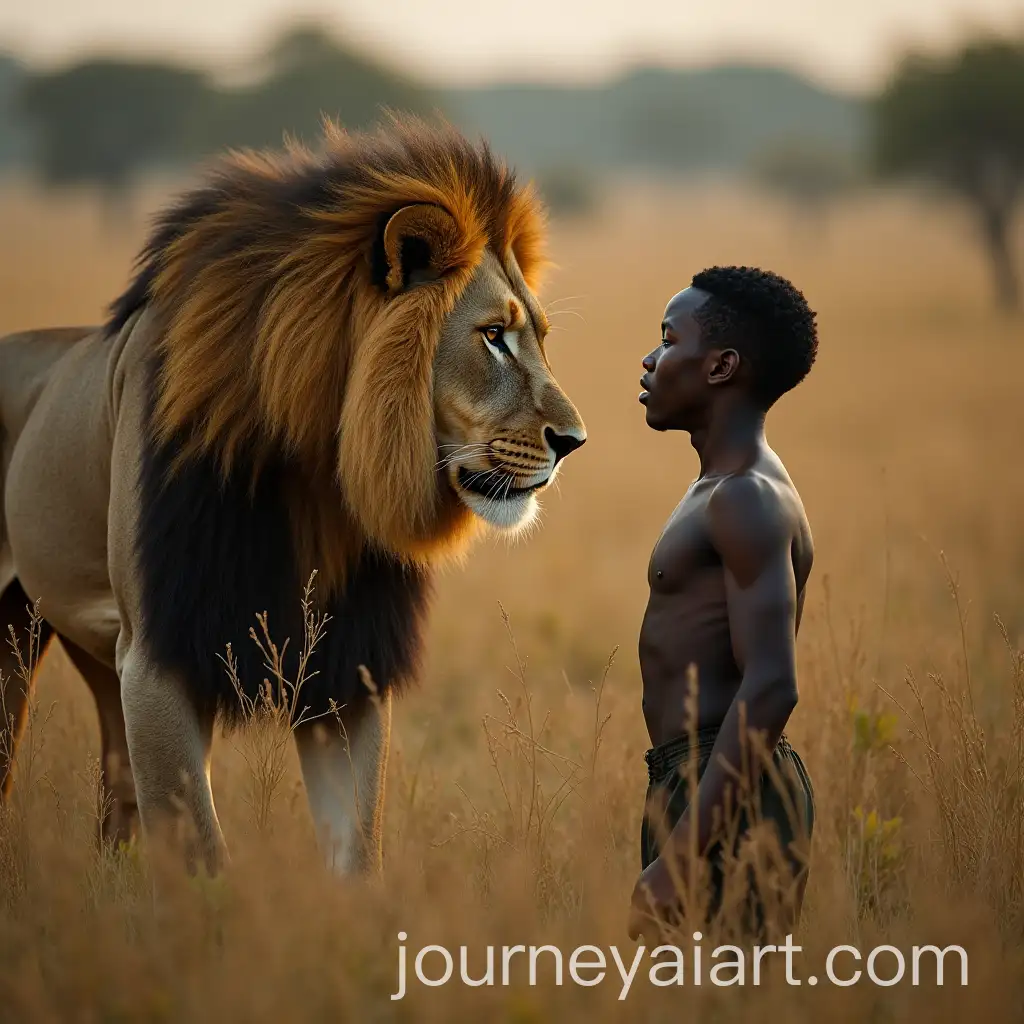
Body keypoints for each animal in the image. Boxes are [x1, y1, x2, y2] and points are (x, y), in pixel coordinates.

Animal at [0, 115, 586, 877]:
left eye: (538, 337)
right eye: (493, 336)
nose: (574, 440)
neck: (316, 471)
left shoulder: (349, 668)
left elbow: (356, 851)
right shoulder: (156, 655)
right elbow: (203, 861)